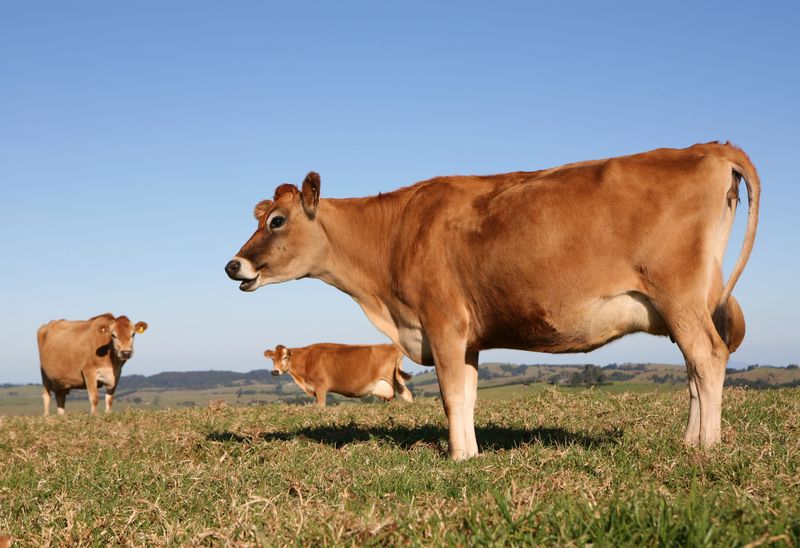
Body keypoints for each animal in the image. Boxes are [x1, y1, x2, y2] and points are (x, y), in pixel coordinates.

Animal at [264, 343, 414, 406]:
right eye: (272, 359)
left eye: (285, 357)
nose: (275, 371)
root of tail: (392, 346)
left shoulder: (320, 387)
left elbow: (321, 406)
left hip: (395, 379)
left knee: (408, 395)